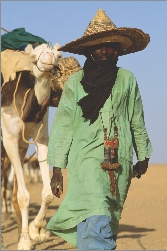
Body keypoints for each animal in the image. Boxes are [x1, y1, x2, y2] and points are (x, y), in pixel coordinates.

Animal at [0, 42, 61, 249]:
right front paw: (25, 241)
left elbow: (47, 193)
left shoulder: (40, 139)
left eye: (58, 53)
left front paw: (35, 232)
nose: (49, 56)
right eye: (33, 55)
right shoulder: (9, 139)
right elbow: (24, 196)